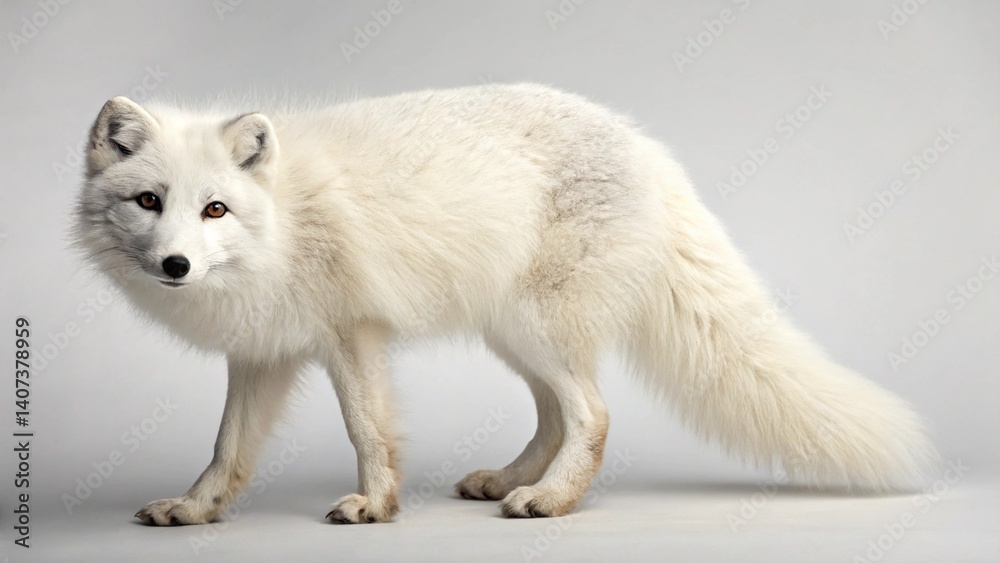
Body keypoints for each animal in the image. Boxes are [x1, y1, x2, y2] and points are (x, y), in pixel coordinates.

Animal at [73, 83, 935, 525]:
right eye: (149, 202)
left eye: (214, 208)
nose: (176, 264)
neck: (283, 220)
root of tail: (646, 147)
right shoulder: (263, 353)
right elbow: (228, 448)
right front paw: (195, 508)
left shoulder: (352, 335)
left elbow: (367, 429)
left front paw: (376, 503)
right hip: (515, 336)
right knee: (556, 416)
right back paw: (511, 481)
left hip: (536, 329)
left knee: (592, 415)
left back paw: (549, 499)